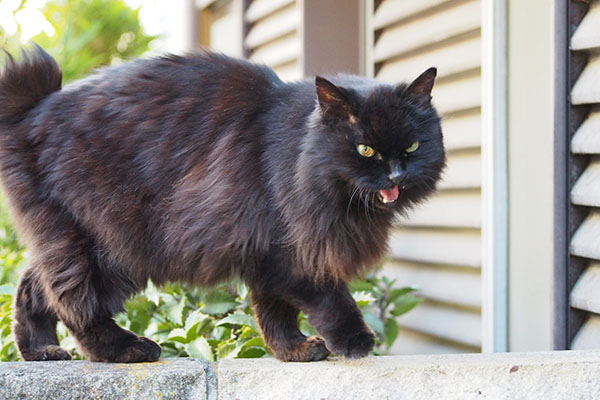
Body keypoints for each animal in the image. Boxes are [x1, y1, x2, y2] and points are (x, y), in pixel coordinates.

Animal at [1, 46, 446, 362]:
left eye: (412, 146)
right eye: (365, 149)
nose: (395, 175)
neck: (299, 151)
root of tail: (32, 107)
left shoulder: (270, 253)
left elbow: (274, 311)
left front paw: (294, 350)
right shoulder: (293, 247)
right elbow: (331, 298)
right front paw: (353, 340)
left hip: (72, 239)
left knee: (31, 286)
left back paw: (39, 351)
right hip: (112, 245)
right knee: (77, 305)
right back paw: (125, 350)